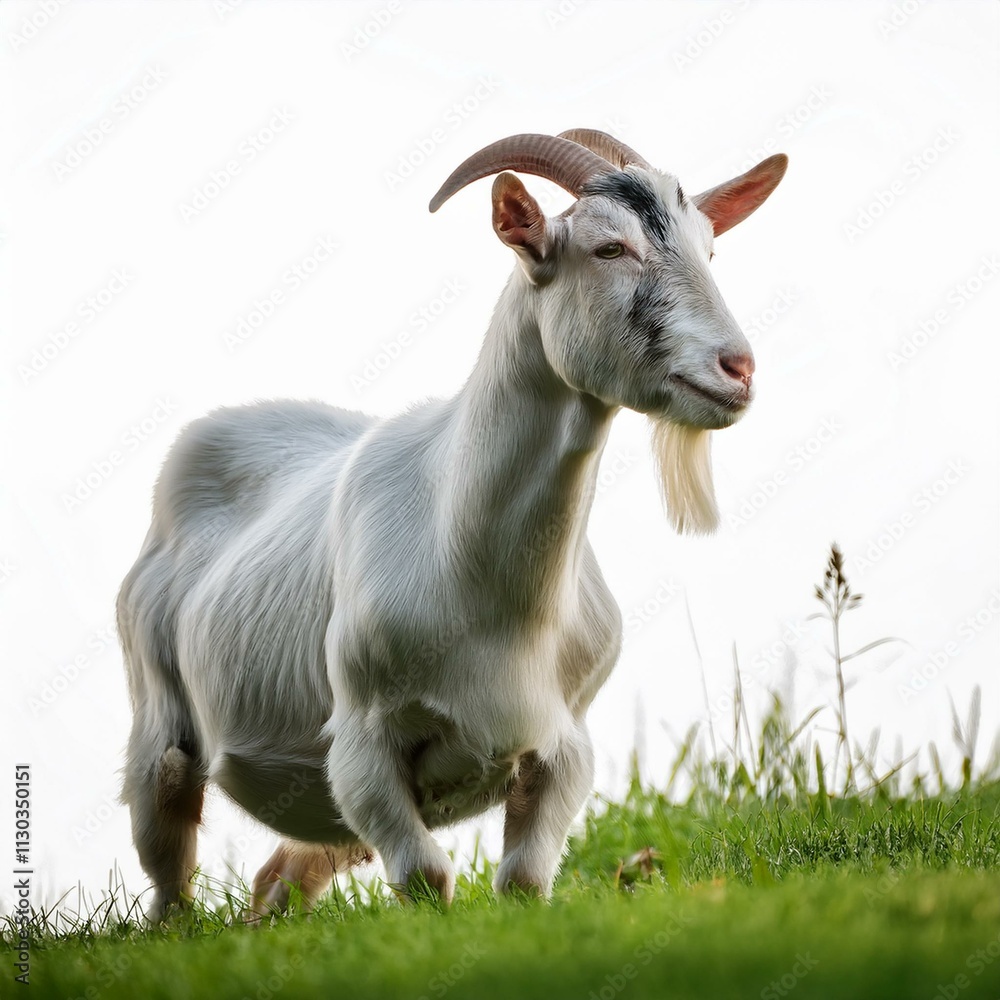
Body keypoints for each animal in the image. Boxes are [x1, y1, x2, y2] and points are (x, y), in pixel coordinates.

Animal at [117, 130, 787, 919]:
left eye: (709, 248)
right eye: (609, 248)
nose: (737, 369)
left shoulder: (564, 746)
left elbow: (524, 880)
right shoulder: (362, 745)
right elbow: (426, 879)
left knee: (279, 877)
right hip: (159, 720)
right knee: (170, 865)